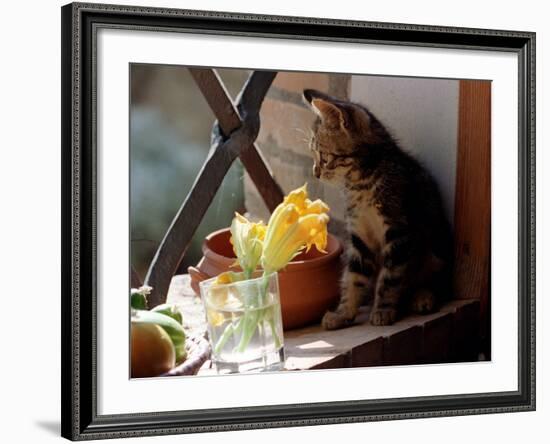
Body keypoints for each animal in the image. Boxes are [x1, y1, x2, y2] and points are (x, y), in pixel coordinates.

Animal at [304, 88, 454, 328]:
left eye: (324, 157)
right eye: (313, 154)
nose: (315, 172)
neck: (360, 183)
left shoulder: (399, 232)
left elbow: (390, 278)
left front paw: (383, 310)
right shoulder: (359, 236)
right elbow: (353, 277)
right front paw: (343, 313)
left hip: (437, 245)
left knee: (437, 282)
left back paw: (423, 297)